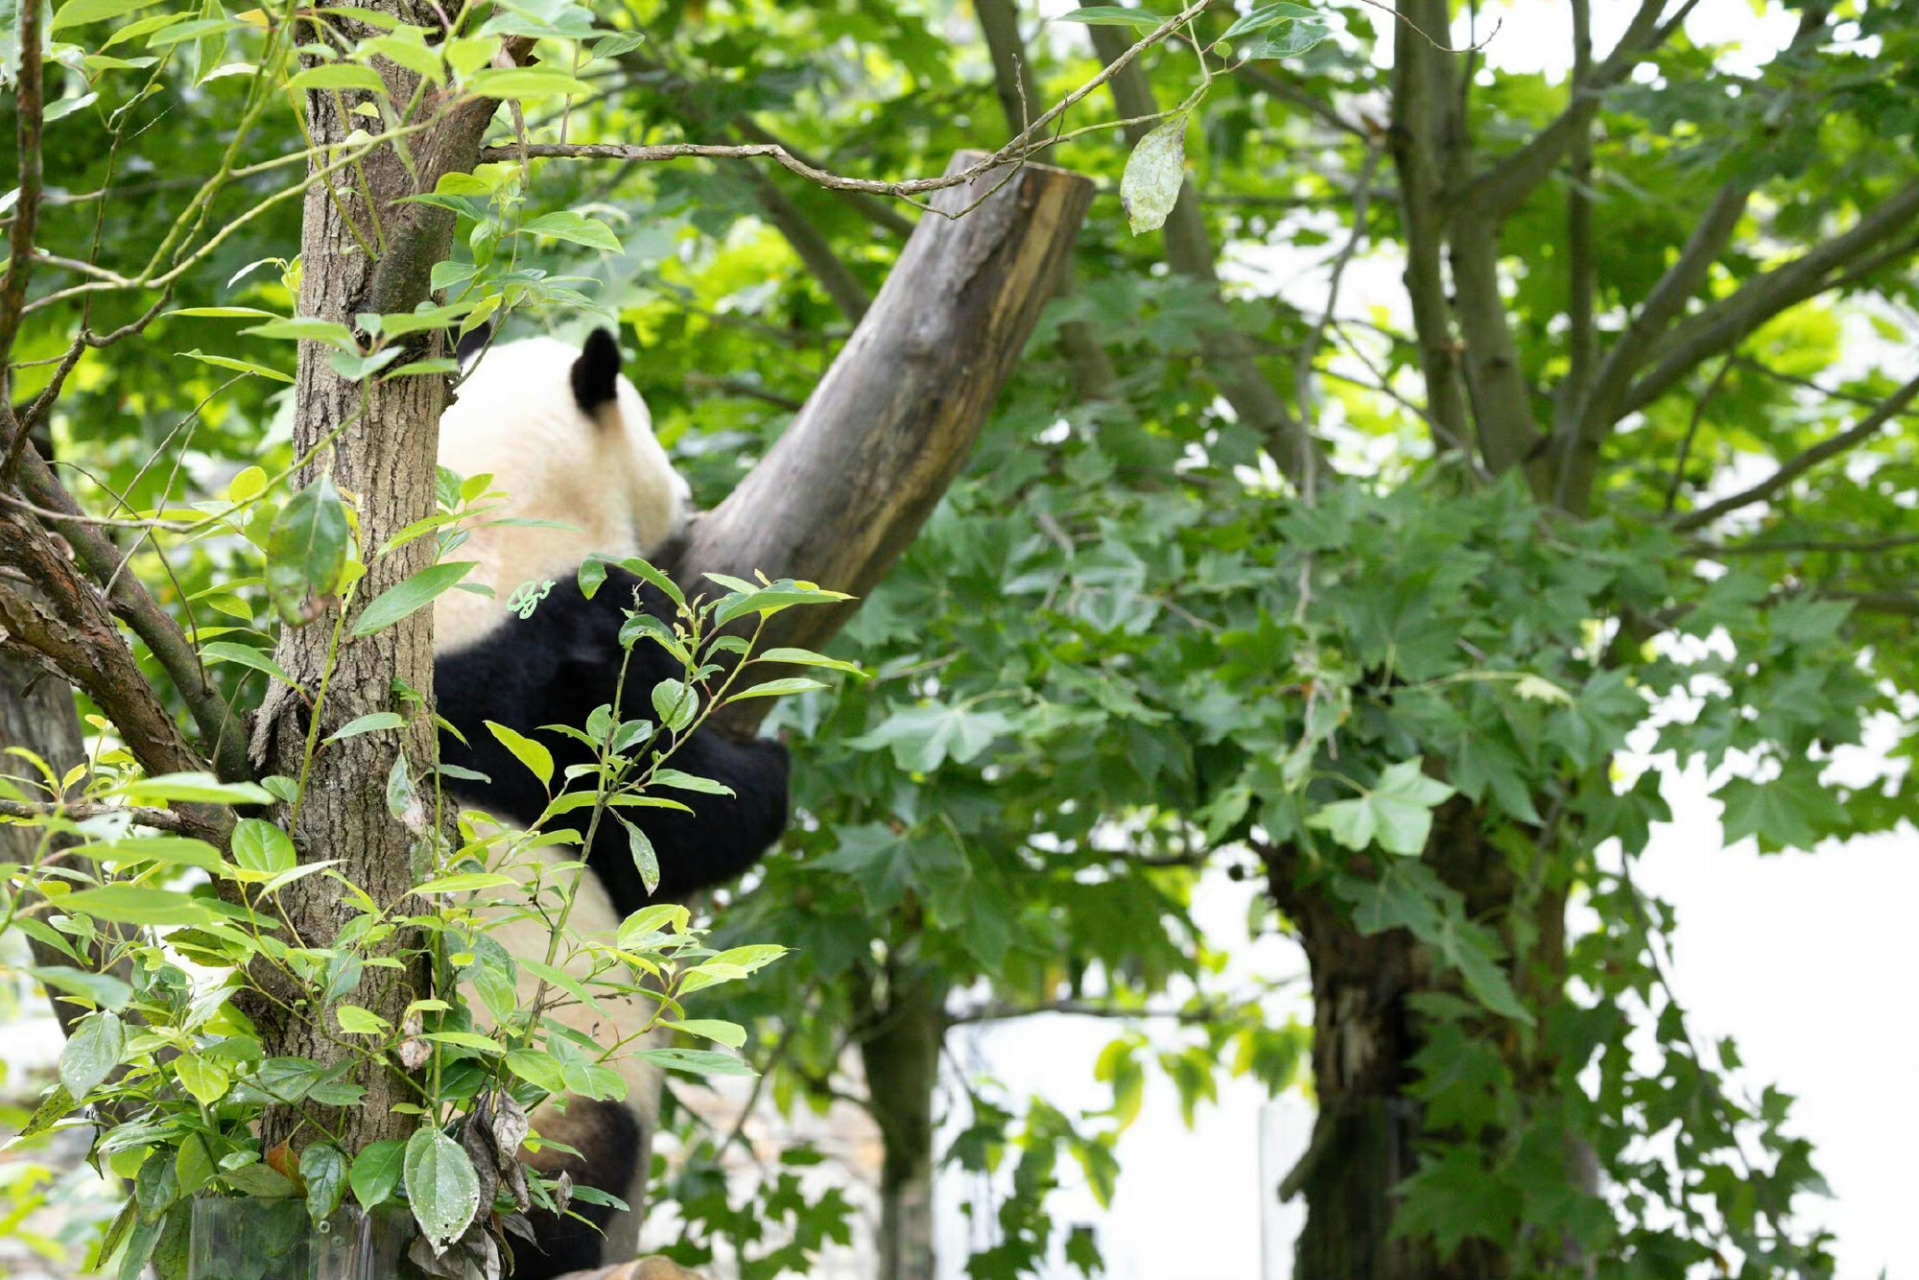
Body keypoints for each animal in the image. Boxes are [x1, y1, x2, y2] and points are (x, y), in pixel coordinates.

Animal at [435, 328, 786, 1280]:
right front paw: (772, 767)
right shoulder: (578, 645)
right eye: (655, 431)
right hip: (551, 1097)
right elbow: (673, 808)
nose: (691, 501)